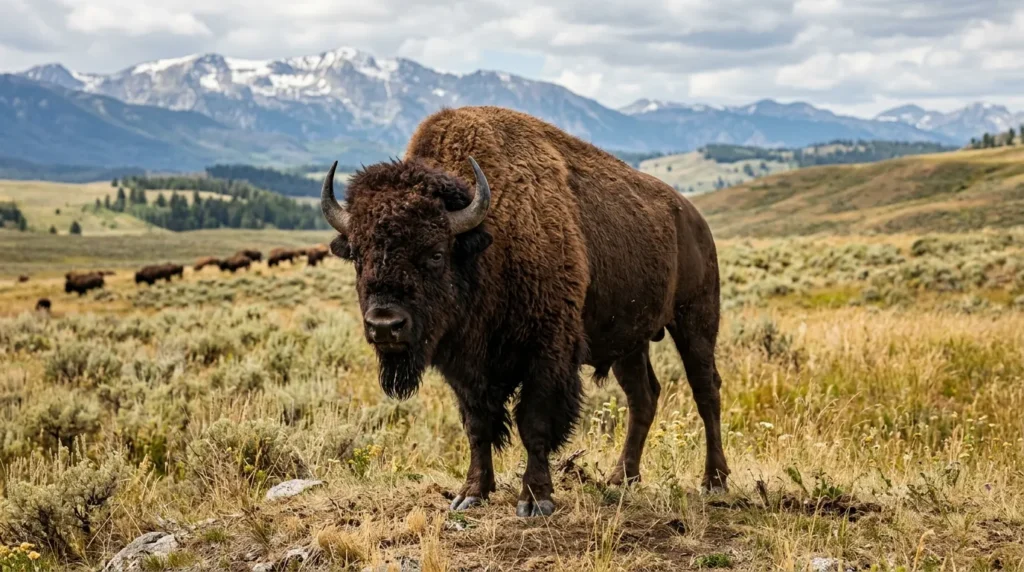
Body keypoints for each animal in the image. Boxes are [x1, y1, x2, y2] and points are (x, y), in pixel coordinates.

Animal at [319, 106, 729, 517]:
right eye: (357, 256)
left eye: (435, 253)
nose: (385, 325)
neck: (487, 242)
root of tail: (695, 220)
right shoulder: (465, 368)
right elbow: (478, 426)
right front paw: (471, 494)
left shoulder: (547, 353)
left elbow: (534, 424)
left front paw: (535, 500)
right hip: (630, 341)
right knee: (642, 396)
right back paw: (621, 478)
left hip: (695, 320)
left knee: (706, 391)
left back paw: (714, 481)